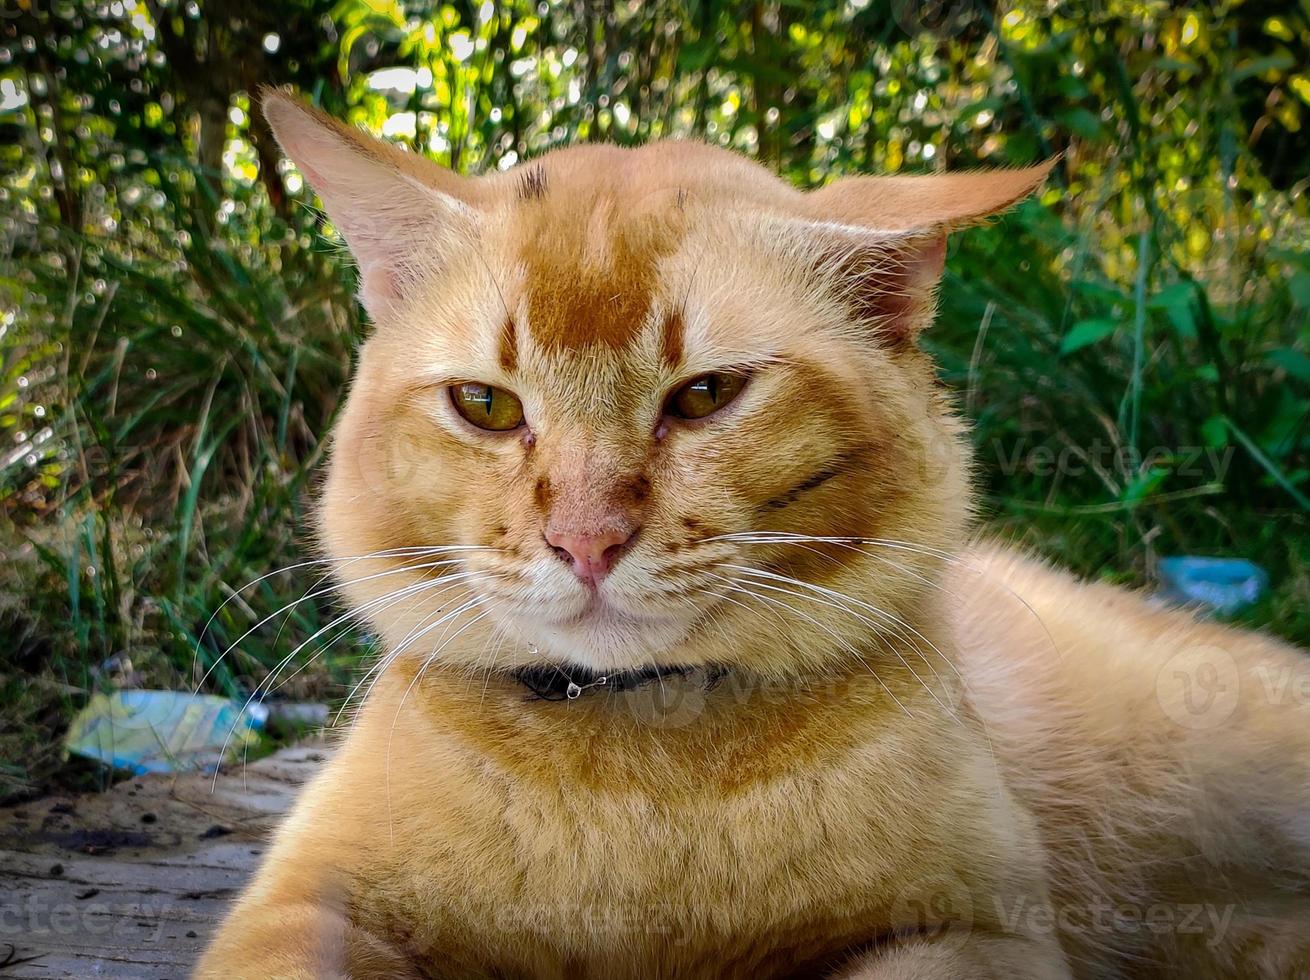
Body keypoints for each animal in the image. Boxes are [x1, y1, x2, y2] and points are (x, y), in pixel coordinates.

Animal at [193, 89, 1310, 974]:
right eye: (486, 404)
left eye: (705, 395)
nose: (586, 541)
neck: (636, 766)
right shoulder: (299, 907)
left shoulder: (974, 933)